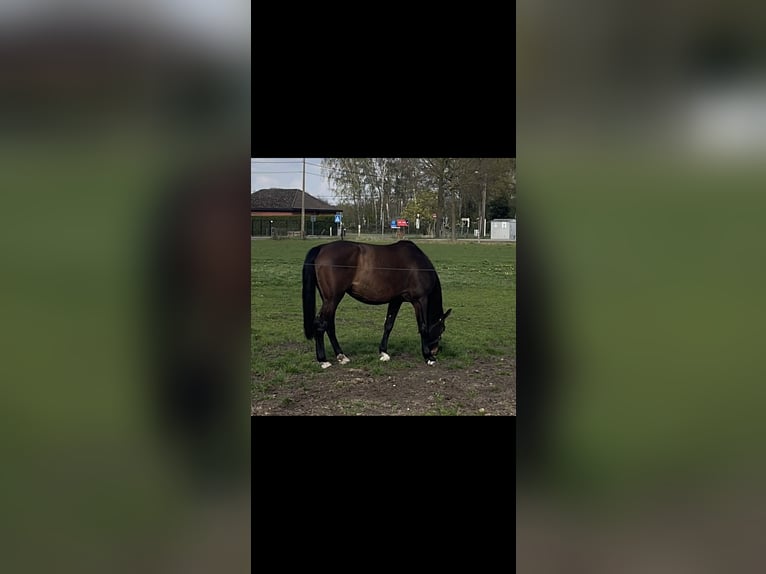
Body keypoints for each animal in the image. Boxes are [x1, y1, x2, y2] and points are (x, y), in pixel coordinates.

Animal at [302, 240, 452, 369]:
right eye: (442, 329)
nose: (435, 351)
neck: (417, 264)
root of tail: (321, 248)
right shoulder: (420, 300)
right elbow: (423, 327)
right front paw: (428, 357)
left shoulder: (396, 300)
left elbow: (389, 325)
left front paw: (384, 353)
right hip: (332, 299)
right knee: (320, 324)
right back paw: (323, 360)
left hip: (329, 300)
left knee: (329, 325)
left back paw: (341, 356)